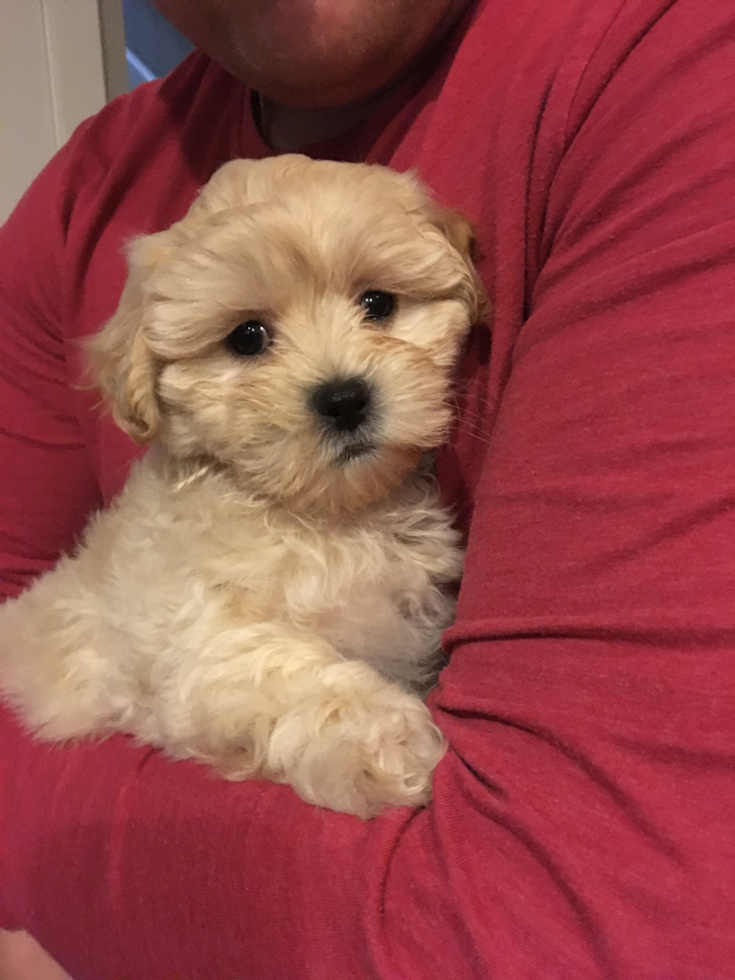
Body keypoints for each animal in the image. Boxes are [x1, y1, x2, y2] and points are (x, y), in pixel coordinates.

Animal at [0, 155, 486, 820]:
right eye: (248, 337)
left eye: (378, 303)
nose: (344, 398)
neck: (327, 518)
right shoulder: (199, 641)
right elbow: (282, 668)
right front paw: (382, 739)